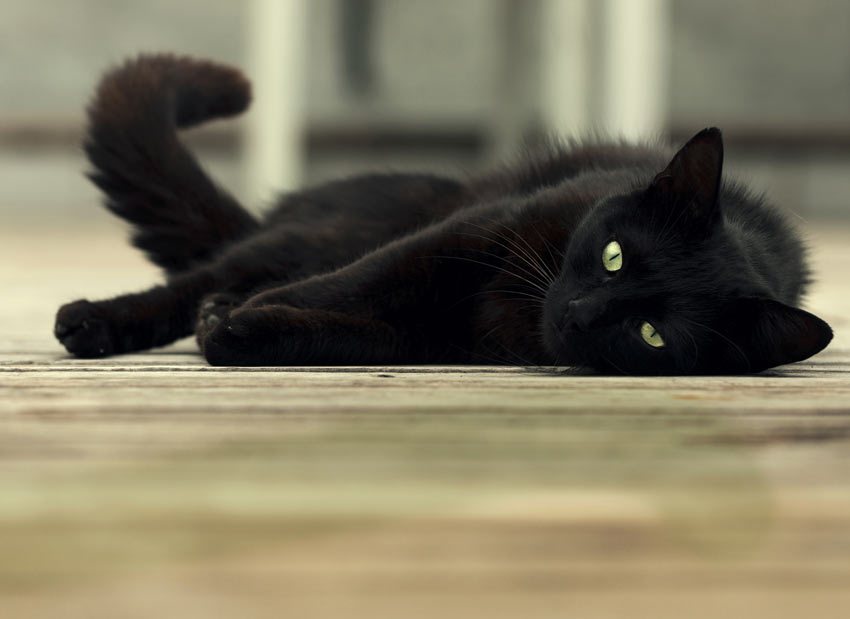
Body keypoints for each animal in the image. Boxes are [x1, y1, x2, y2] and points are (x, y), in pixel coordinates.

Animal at [56, 54, 832, 372]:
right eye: (613, 256)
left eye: (651, 333)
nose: (579, 313)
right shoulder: (468, 235)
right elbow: (352, 286)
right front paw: (242, 317)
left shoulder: (442, 336)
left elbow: (350, 335)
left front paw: (246, 334)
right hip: (333, 230)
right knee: (200, 280)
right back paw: (96, 321)